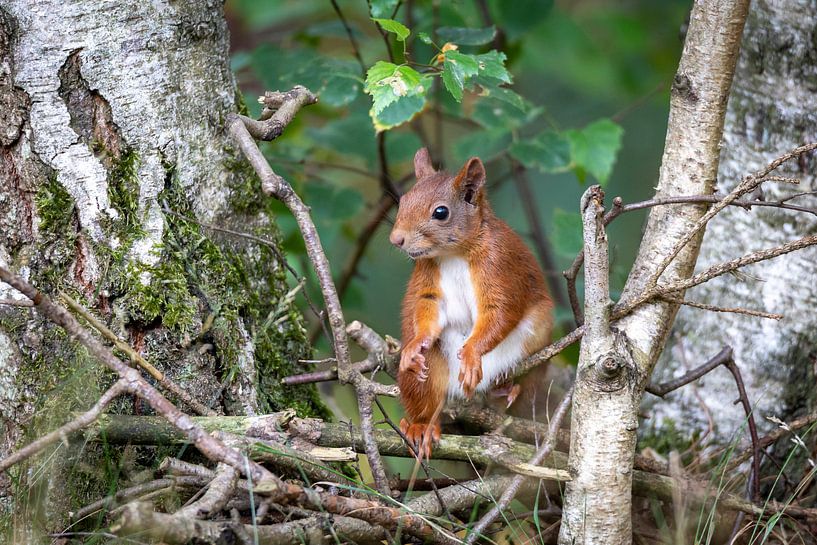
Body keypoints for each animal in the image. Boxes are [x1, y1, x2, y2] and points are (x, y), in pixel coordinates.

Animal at [390, 148, 556, 454]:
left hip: (535, 354)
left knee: (524, 388)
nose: (396, 239)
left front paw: (470, 355)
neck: (453, 254)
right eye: (404, 200)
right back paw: (419, 426)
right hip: (425, 376)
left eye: (440, 212)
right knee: (425, 399)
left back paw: (507, 391)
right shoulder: (428, 279)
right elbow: (427, 307)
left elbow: (500, 312)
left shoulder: (499, 267)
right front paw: (417, 342)